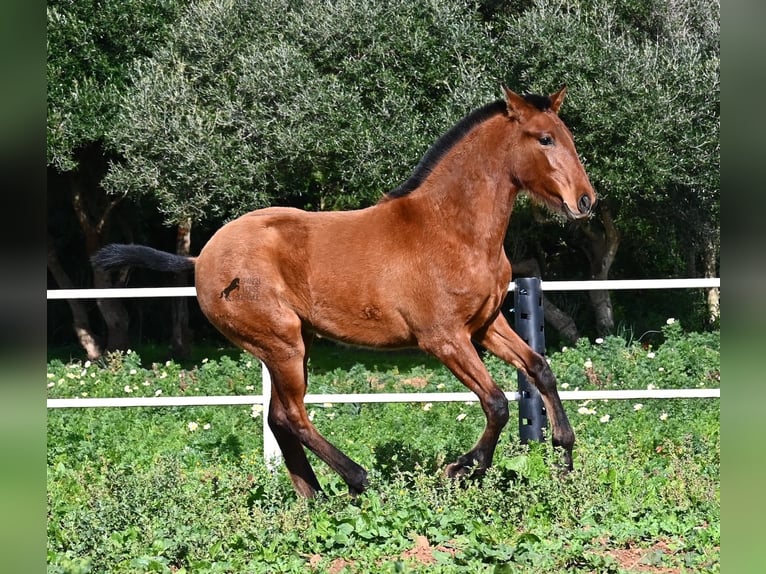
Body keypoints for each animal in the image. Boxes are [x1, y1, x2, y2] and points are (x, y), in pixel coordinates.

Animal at [93, 85, 596, 500]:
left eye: (565, 135)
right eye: (544, 139)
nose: (586, 201)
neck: (452, 230)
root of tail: (200, 259)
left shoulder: (484, 326)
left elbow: (540, 369)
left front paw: (564, 458)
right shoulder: (444, 338)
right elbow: (496, 402)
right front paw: (463, 469)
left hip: (294, 344)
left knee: (279, 418)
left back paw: (313, 497)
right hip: (281, 343)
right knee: (291, 415)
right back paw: (356, 480)